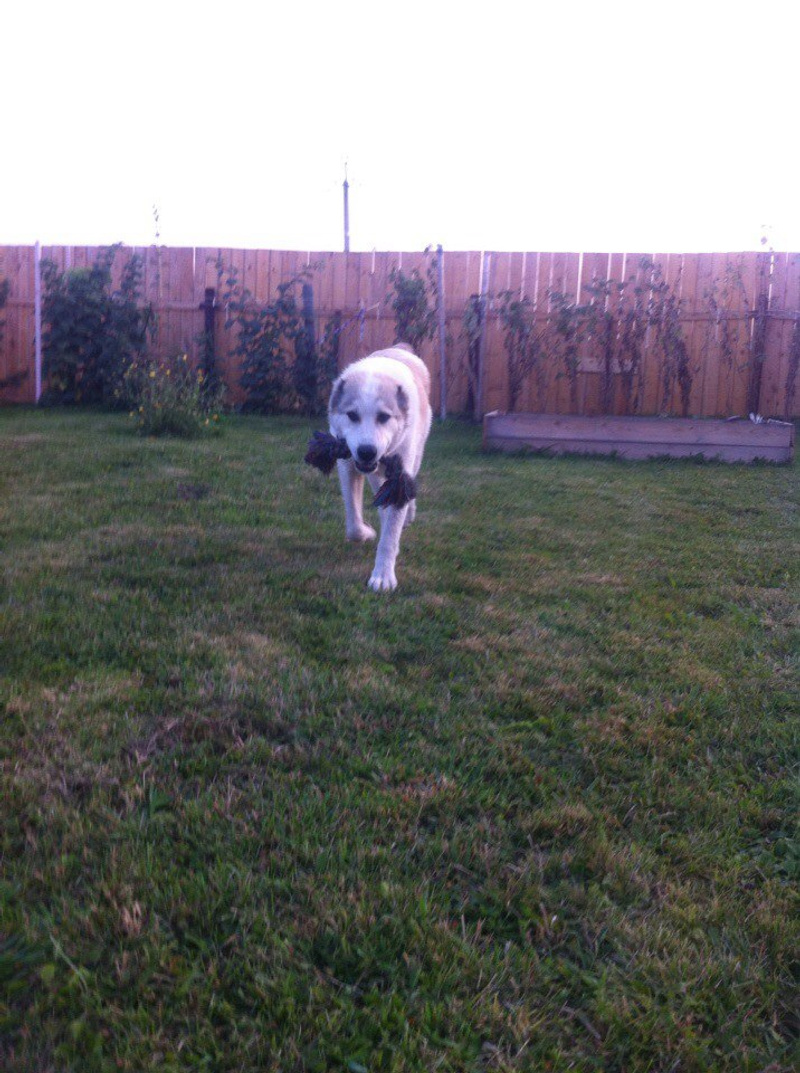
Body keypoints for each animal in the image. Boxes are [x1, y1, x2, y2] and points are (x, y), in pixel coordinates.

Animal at [327, 345, 432, 592]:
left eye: (384, 417)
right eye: (352, 415)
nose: (367, 451)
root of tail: (399, 348)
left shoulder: (399, 477)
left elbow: (389, 538)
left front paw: (383, 576)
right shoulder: (347, 465)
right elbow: (353, 523)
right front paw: (366, 533)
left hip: (416, 455)